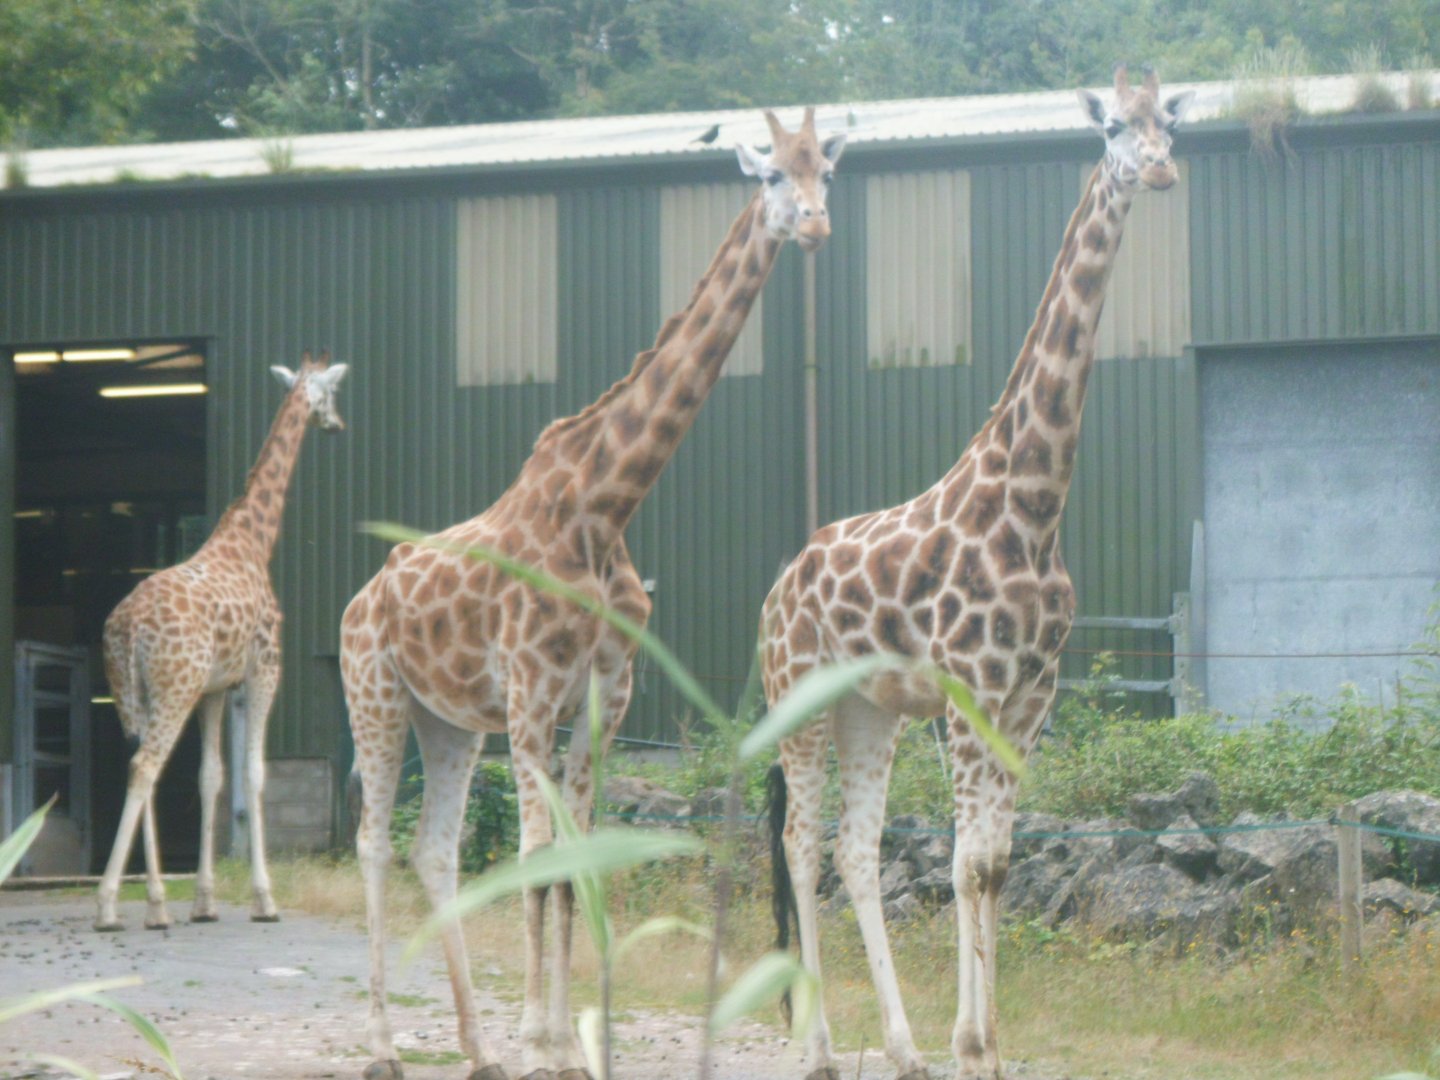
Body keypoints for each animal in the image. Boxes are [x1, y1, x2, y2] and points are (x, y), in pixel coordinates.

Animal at [95, 352, 349, 932]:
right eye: (331, 394)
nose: (337, 425)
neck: (253, 541)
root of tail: (129, 628)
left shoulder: (213, 689)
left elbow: (210, 777)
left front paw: (205, 902)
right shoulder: (263, 669)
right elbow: (253, 773)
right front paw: (264, 899)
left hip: (133, 694)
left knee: (140, 767)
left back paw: (156, 903)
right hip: (173, 688)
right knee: (146, 767)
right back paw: (109, 905)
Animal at [339, 108, 845, 1080]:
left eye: (825, 172)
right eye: (770, 173)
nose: (814, 226)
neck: (604, 506)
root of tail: (359, 599)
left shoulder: (606, 699)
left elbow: (581, 858)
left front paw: (566, 1047)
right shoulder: (533, 694)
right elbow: (538, 854)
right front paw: (542, 1039)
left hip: (448, 724)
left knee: (434, 850)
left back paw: (476, 1050)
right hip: (374, 697)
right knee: (374, 843)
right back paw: (382, 1045)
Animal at [761, 69, 1194, 1080]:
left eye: (1169, 122)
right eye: (1113, 128)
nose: (1160, 169)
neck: (1033, 505)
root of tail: (772, 593)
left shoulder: (1029, 697)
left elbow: (995, 864)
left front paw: (985, 1044)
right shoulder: (967, 693)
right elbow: (963, 865)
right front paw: (971, 1044)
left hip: (868, 710)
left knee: (855, 850)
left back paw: (900, 1044)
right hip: (799, 700)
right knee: (801, 846)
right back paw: (821, 1047)